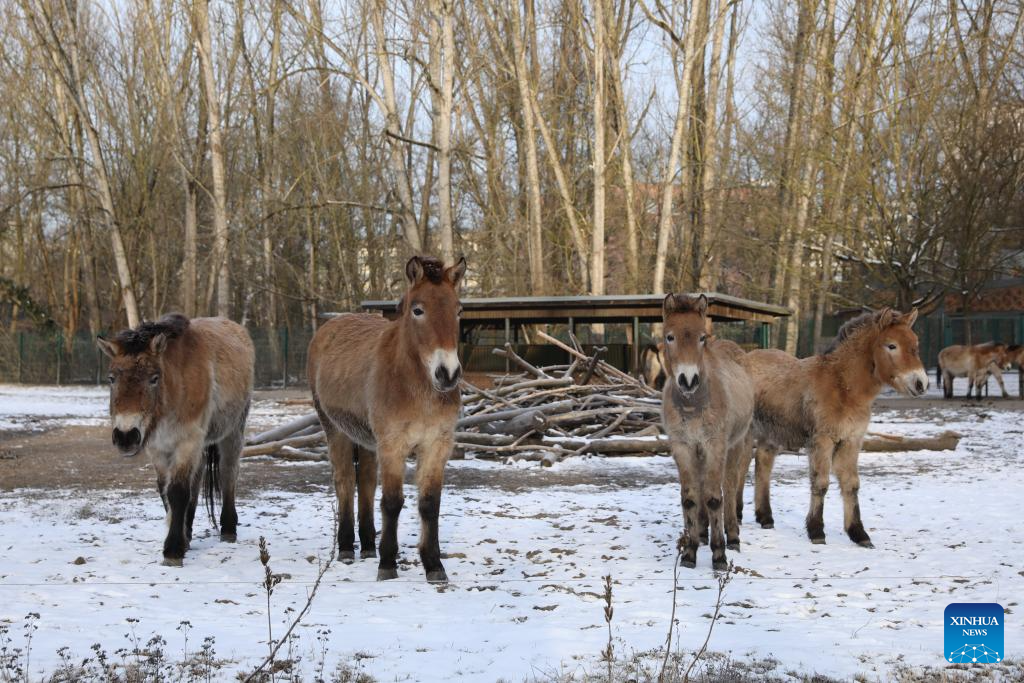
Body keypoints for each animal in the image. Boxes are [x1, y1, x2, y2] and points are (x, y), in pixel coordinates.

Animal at [96, 314, 254, 566]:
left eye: (153, 378)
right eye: (112, 378)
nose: (125, 436)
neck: (175, 386)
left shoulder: (187, 441)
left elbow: (178, 491)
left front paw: (173, 549)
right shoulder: (158, 448)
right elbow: (166, 491)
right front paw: (182, 538)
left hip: (232, 431)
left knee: (228, 472)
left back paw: (228, 528)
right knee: (197, 481)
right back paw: (188, 530)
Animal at [307, 255, 466, 583]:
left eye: (458, 310)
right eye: (418, 310)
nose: (447, 374)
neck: (417, 387)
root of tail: (331, 325)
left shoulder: (437, 445)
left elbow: (429, 503)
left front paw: (434, 565)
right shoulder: (393, 445)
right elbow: (393, 502)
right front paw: (388, 564)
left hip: (367, 440)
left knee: (366, 482)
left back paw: (368, 544)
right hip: (335, 429)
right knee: (345, 481)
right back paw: (347, 547)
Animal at [660, 293, 754, 570]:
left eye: (702, 337)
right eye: (670, 336)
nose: (688, 380)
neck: (693, 404)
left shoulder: (715, 445)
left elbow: (714, 497)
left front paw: (719, 555)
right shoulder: (683, 446)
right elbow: (691, 498)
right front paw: (690, 552)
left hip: (737, 444)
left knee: (730, 486)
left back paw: (732, 536)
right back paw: (702, 533)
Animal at [736, 308, 927, 547]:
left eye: (916, 344)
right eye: (891, 345)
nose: (921, 384)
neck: (842, 386)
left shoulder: (851, 440)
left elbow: (851, 484)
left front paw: (858, 533)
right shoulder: (822, 441)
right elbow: (821, 483)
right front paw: (816, 530)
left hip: (771, 433)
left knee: (763, 463)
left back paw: (765, 517)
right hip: (747, 432)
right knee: (740, 466)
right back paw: (737, 514)